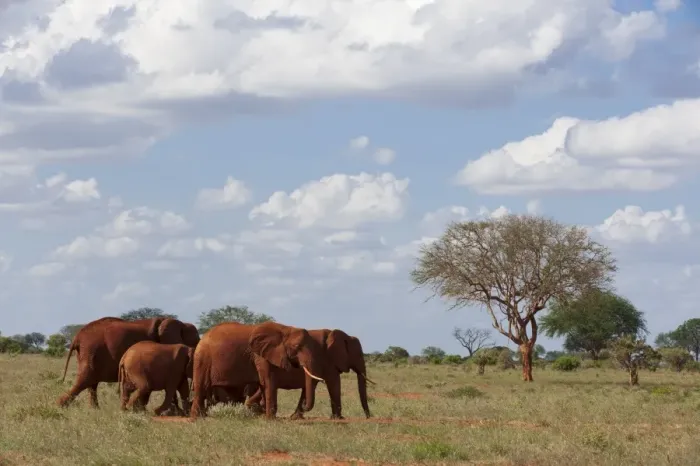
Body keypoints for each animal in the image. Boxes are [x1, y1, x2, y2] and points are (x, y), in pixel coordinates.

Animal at [58, 316, 200, 408]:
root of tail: (77, 337)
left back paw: (94, 410)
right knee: (85, 381)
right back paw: (60, 407)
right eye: (195, 342)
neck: (181, 324)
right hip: (90, 351)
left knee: (91, 385)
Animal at [189, 321, 327, 419]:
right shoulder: (260, 356)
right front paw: (270, 419)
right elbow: (269, 381)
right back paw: (197, 418)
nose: (304, 406)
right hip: (203, 358)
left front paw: (265, 415)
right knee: (201, 387)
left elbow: (264, 383)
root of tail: (203, 336)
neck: (285, 329)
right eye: (297, 346)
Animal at [246, 329, 374, 419]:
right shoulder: (328, 360)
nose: (369, 417)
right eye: (359, 355)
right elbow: (333, 384)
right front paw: (338, 418)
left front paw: (296, 417)